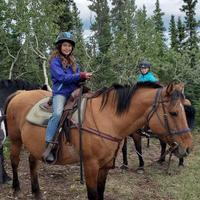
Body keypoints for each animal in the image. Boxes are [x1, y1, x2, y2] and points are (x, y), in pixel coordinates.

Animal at [4, 82, 192, 199]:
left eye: (185, 110)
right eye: (174, 113)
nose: (188, 147)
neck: (106, 119)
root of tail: (20, 93)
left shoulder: (105, 166)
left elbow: (101, 193)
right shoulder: (90, 166)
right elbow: (93, 194)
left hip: (34, 145)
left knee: (32, 162)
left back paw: (36, 192)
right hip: (15, 140)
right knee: (14, 161)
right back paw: (16, 189)